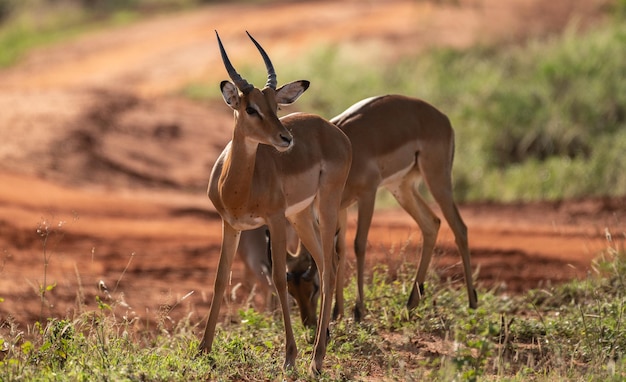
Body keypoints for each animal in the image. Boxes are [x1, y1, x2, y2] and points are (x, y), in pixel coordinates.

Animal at [201, 30, 352, 376]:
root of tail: (333, 130)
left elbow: (280, 280)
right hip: (301, 215)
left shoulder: (275, 220)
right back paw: (322, 343)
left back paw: (316, 359)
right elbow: (220, 280)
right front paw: (203, 350)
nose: (286, 138)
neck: (237, 188)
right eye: (251, 108)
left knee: (330, 266)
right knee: (323, 263)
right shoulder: (230, 225)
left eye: (276, 107)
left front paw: (290, 357)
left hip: (325, 205)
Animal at [241, 95, 476, 326]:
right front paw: (337, 312)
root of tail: (441, 117)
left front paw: (358, 311)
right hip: (401, 186)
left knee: (460, 227)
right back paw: (411, 303)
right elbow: (338, 252)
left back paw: (472, 302)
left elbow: (358, 245)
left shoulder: (367, 195)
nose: (309, 323)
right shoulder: (340, 208)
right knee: (432, 224)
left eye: (314, 288)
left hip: (436, 178)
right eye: (292, 291)